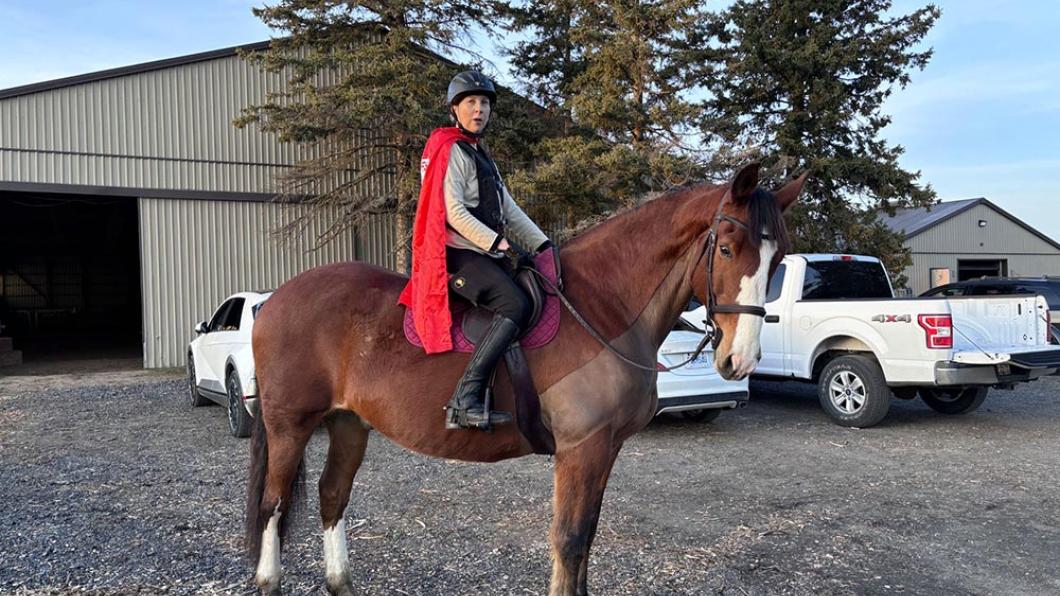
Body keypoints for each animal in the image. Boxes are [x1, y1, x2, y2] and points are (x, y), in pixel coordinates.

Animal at [245, 163, 801, 593]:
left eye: (776, 260)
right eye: (726, 249)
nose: (741, 359)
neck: (601, 307)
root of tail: (274, 300)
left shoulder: (605, 449)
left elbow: (586, 538)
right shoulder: (582, 449)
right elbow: (570, 540)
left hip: (348, 423)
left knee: (331, 495)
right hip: (290, 424)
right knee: (273, 506)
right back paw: (269, 580)